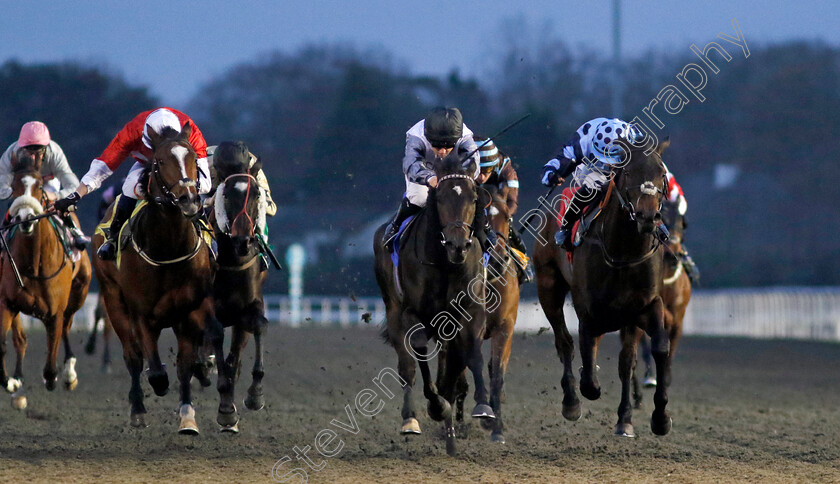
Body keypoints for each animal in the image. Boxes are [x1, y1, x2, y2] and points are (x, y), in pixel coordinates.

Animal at [0, 150, 92, 408]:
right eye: (14, 186)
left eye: (40, 185)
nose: (26, 217)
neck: (34, 264)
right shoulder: (7, 303)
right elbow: (5, 344)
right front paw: (10, 381)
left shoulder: (55, 311)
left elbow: (51, 364)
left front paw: (57, 377)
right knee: (21, 338)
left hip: (79, 293)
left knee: (68, 327)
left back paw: (69, 374)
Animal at [92, 123, 225, 432]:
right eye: (160, 162)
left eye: (193, 158)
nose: (189, 199)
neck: (169, 248)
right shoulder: (141, 313)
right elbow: (152, 367)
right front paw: (155, 388)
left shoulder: (190, 307)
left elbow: (188, 362)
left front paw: (189, 416)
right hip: (113, 299)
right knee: (133, 356)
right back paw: (138, 408)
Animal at [372, 153, 492, 456]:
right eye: (439, 198)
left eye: (474, 198)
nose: (458, 245)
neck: (445, 264)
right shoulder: (413, 313)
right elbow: (418, 355)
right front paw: (436, 406)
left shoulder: (471, 311)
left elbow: (473, 353)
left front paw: (484, 407)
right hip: (394, 311)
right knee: (407, 367)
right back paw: (412, 419)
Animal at [536, 141, 672, 438]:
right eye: (629, 172)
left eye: (661, 174)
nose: (647, 216)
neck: (623, 252)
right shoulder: (588, 311)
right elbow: (587, 369)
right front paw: (587, 389)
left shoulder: (644, 307)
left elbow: (649, 352)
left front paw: (655, 418)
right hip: (548, 286)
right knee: (564, 343)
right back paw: (571, 402)